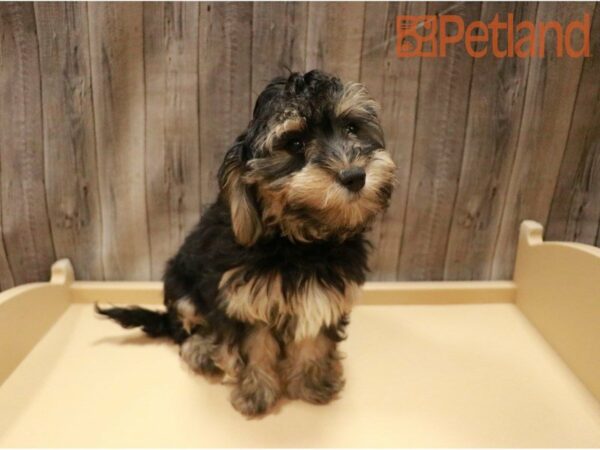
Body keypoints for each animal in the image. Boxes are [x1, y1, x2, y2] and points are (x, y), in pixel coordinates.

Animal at [98, 70, 396, 418]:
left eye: (351, 128)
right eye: (295, 143)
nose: (354, 176)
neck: (301, 240)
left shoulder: (322, 293)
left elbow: (314, 338)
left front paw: (311, 383)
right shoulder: (243, 299)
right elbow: (255, 346)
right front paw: (257, 393)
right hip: (181, 286)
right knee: (186, 326)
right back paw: (202, 350)